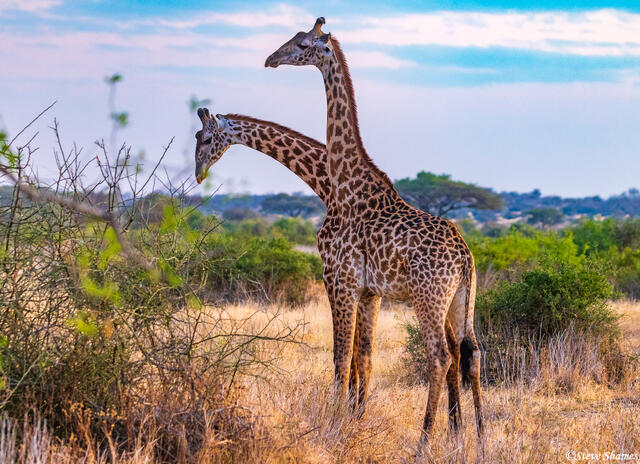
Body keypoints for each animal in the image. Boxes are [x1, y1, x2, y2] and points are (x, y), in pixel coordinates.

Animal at [265, 17, 484, 449]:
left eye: (302, 43)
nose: (271, 59)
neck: (346, 183)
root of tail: (465, 256)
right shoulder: (366, 289)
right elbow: (358, 356)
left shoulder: (341, 278)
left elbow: (341, 354)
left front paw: (334, 421)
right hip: (459, 298)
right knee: (471, 353)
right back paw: (478, 438)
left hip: (427, 297)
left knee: (440, 356)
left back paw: (424, 441)